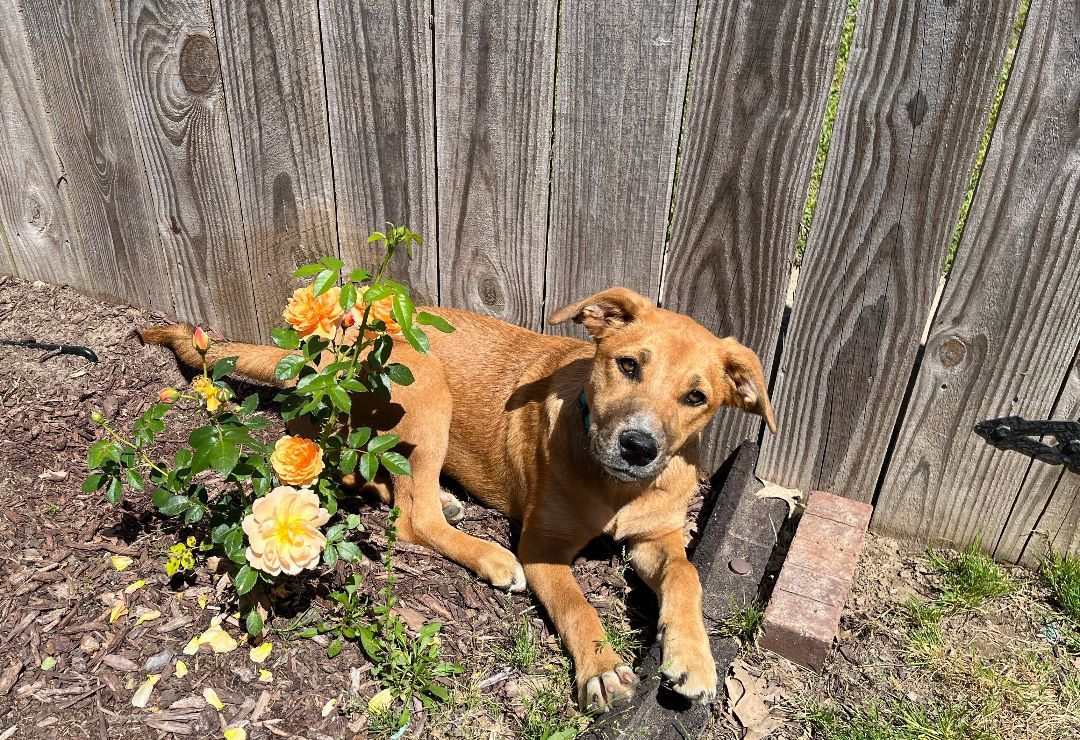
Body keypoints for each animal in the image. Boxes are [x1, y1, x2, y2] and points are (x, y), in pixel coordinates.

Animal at [141, 285, 777, 708]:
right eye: (627, 365)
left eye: (696, 397)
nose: (639, 445)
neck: (618, 486)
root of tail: (336, 351)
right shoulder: (542, 546)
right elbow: (576, 603)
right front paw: (601, 666)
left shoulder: (658, 536)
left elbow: (687, 575)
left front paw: (692, 657)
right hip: (427, 394)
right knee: (410, 517)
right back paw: (487, 554)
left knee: (376, 479)